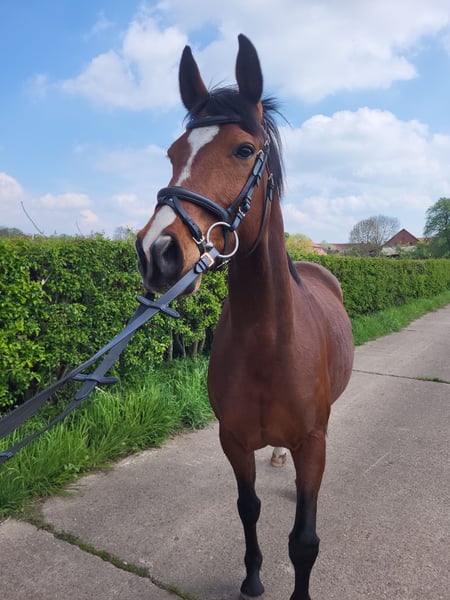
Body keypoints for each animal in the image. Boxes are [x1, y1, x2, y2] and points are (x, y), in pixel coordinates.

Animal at [135, 34, 354, 600]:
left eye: (243, 150)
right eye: (173, 153)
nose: (157, 251)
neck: (268, 342)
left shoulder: (312, 445)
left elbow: (304, 541)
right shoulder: (232, 440)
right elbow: (247, 508)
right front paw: (252, 578)